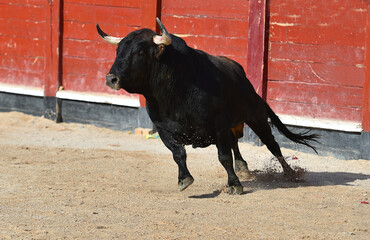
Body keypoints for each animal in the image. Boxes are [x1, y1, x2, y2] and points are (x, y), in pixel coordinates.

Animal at [96, 18, 318, 195]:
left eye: (140, 52)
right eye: (117, 50)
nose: (111, 78)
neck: (174, 91)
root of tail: (243, 77)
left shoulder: (219, 126)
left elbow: (224, 157)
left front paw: (234, 185)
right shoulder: (163, 128)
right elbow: (178, 154)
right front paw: (184, 179)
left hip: (256, 117)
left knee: (272, 144)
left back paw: (290, 173)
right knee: (235, 142)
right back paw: (243, 166)